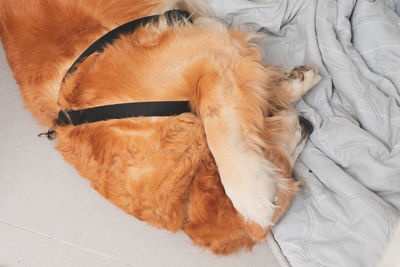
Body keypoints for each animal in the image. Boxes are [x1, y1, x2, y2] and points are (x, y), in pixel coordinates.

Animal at [0, 0, 318, 255]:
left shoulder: (207, 49)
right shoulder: (206, 51)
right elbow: (221, 118)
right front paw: (254, 196)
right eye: (284, 172)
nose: (308, 125)